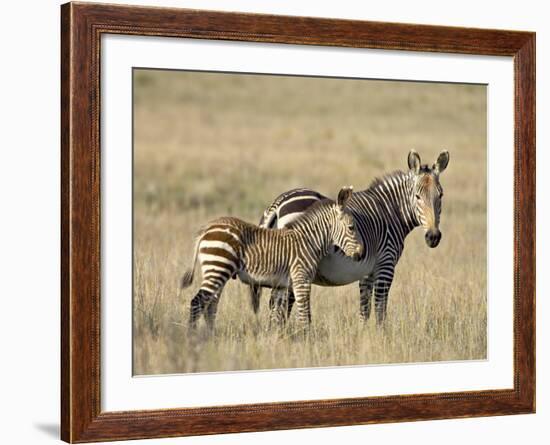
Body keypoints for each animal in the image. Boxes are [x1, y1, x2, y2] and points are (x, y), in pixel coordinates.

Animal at [180, 185, 362, 330]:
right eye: (351, 227)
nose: (360, 254)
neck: (309, 240)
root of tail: (207, 228)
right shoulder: (301, 278)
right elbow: (304, 314)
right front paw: (307, 340)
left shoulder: (284, 283)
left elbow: (278, 313)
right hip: (218, 267)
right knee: (197, 302)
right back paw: (192, 336)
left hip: (217, 271)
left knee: (210, 306)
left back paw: (210, 335)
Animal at [250, 147, 452, 324]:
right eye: (417, 196)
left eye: (441, 195)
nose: (433, 237)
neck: (390, 211)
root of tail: (277, 204)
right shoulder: (386, 265)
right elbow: (380, 310)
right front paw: (381, 338)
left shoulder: (367, 271)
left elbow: (365, 309)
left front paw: (365, 336)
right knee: (281, 306)